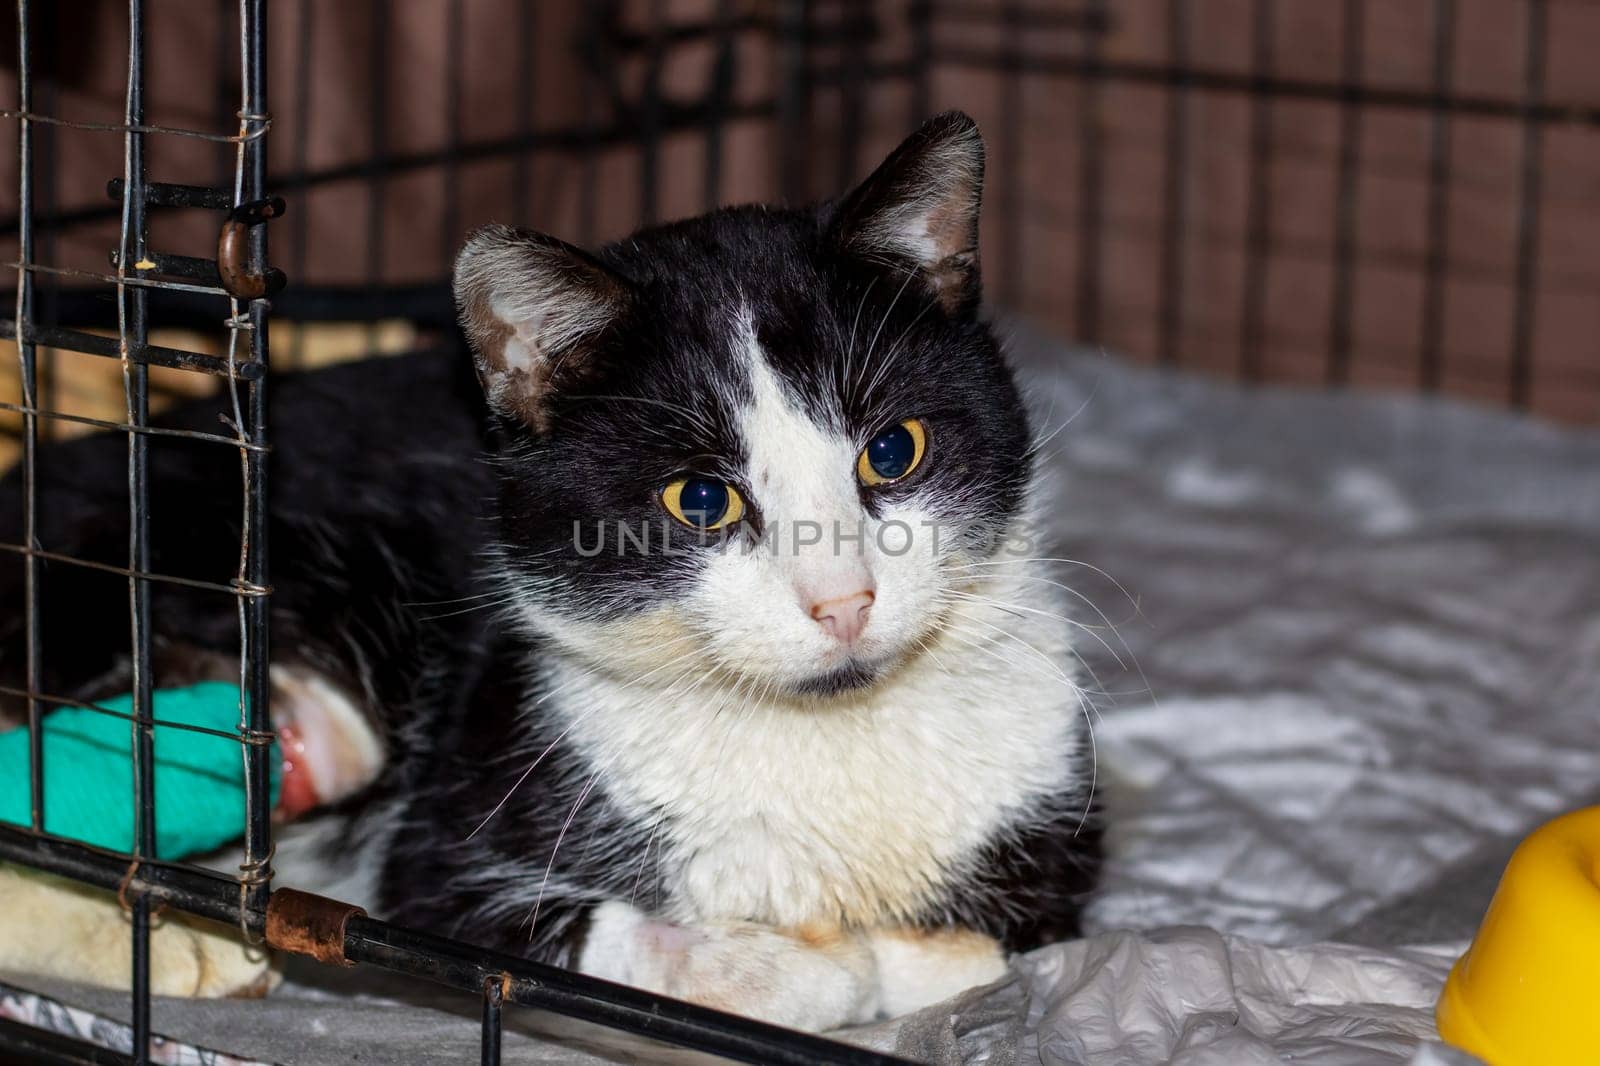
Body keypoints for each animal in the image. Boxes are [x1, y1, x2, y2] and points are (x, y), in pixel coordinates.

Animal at [0, 112, 1100, 1024]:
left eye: (893, 451)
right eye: (701, 501)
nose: (845, 602)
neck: (828, 734)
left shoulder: (1056, 827)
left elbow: (989, 950)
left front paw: (905, 949)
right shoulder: (454, 842)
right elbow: (530, 942)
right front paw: (801, 960)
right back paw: (193, 945)